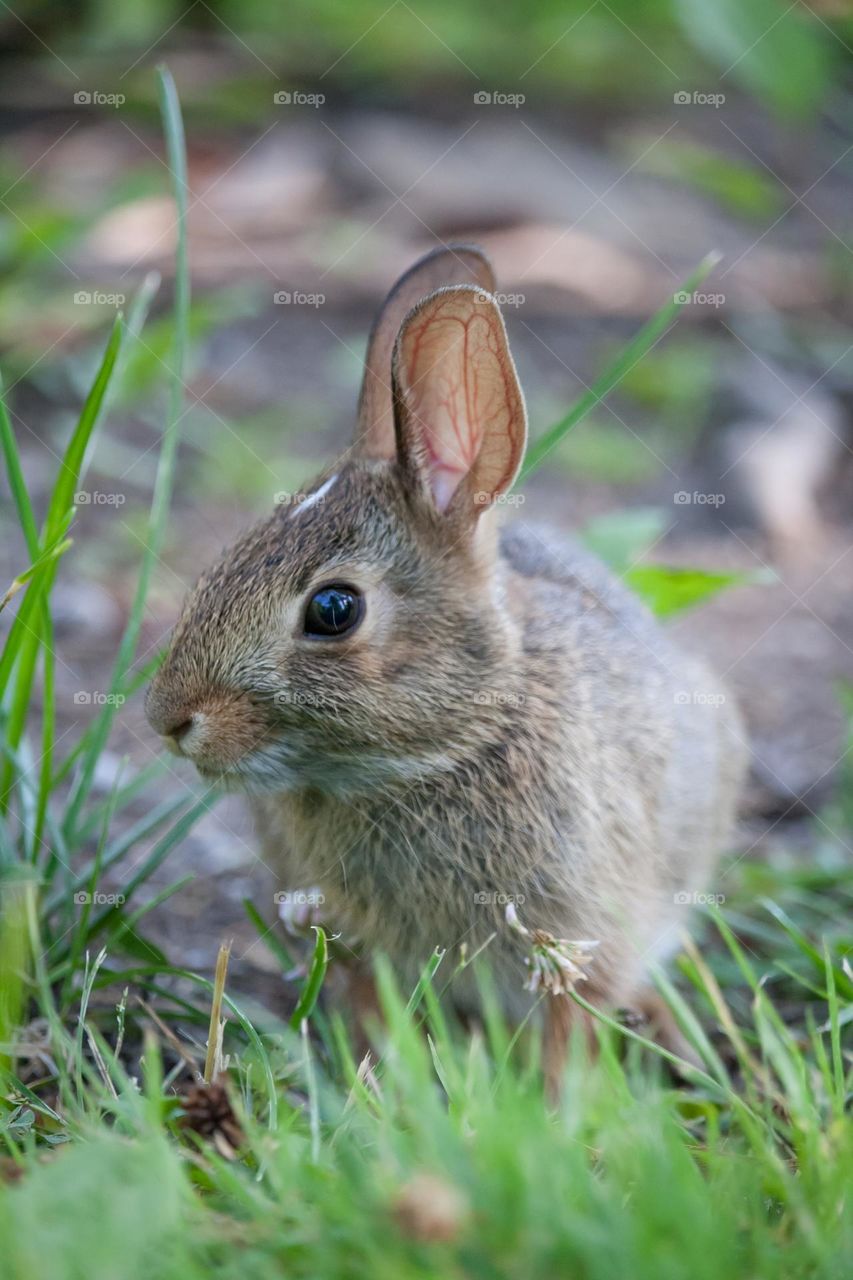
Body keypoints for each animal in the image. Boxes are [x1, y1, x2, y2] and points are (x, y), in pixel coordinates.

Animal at [146, 244, 742, 1085]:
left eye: (334, 610)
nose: (166, 718)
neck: (448, 745)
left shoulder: (579, 930)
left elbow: (572, 1019)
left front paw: (558, 1107)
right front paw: (380, 1085)